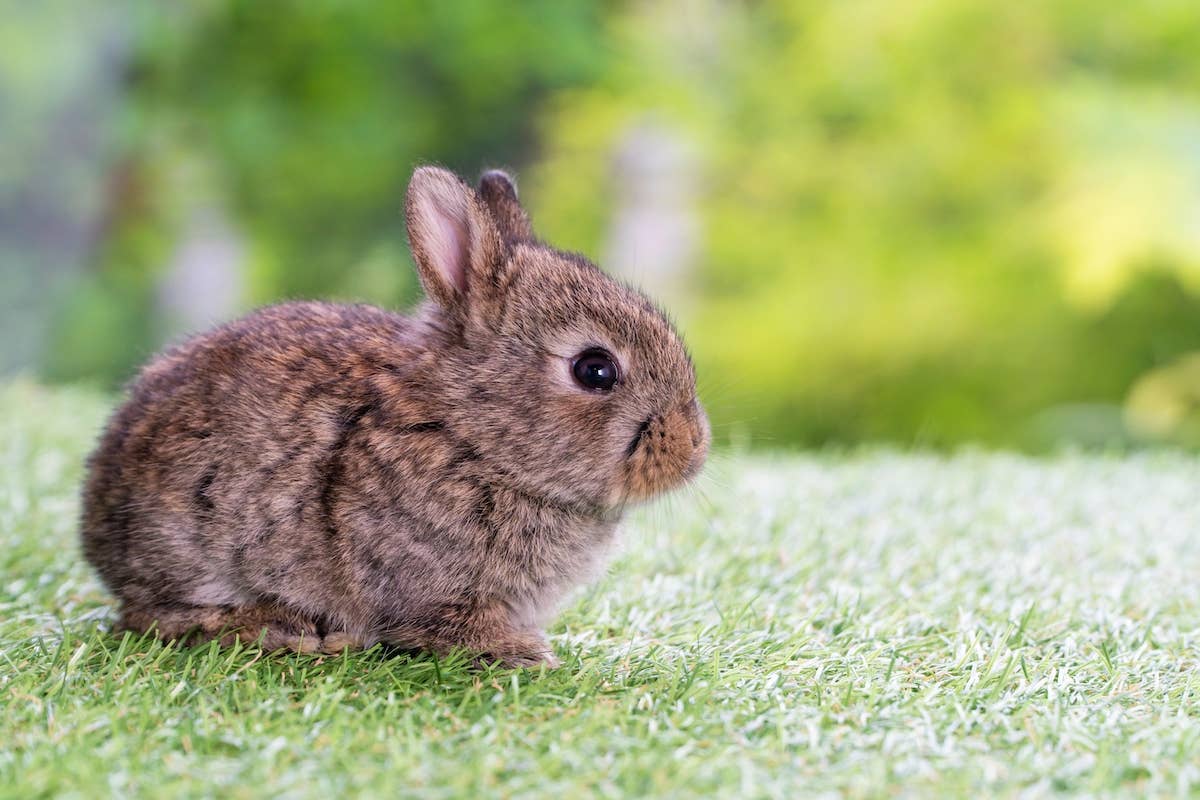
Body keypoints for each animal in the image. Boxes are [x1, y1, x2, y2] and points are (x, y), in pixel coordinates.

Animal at [80, 165, 709, 667]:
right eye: (595, 370)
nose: (692, 449)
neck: (469, 433)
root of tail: (96, 522)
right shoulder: (431, 589)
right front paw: (523, 653)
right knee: (158, 619)